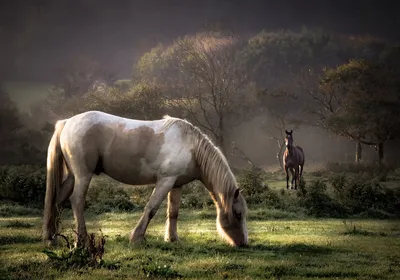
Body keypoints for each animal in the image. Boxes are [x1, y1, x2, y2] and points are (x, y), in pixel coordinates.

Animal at [41, 111, 247, 247]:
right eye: (238, 214)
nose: (243, 243)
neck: (191, 147)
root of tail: (67, 122)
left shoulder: (176, 184)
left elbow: (173, 212)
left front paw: (172, 239)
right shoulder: (165, 181)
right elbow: (151, 208)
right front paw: (137, 238)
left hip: (72, 176)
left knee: (58, 200)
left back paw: (52, 238)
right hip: (83, 174)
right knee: (76, 201)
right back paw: (81, 241)